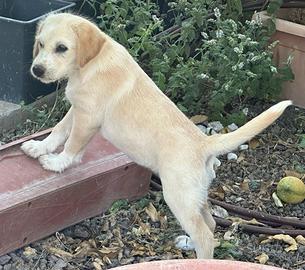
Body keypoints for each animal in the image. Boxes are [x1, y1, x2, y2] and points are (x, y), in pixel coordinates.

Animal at [20, 13, 290, 260]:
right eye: (40, 44)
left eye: (62, 48)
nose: (36, 70)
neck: (90, 64)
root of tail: (204, 143)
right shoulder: (77, 109)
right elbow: (58, 131)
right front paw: (39, 148)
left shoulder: (87, 117)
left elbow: (72, 146)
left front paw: (56, 163)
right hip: (196, 194)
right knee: (210, 223)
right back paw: (189, 243)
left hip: (178, 196)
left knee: (205, 235)